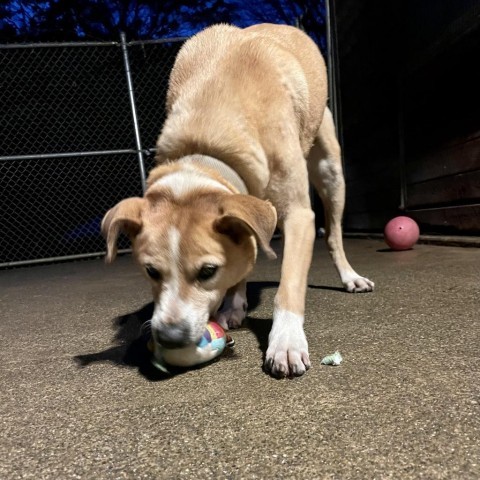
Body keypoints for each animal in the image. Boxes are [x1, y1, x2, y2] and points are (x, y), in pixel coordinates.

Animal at [102, 23, 376, 378]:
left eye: (207, 271)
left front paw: (286, 342)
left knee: (333, 235)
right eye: (150, 271)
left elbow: (289, 285)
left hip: (330, 169)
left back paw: (349, 277)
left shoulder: (299, 215)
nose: (170, 338)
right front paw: (234, 303)